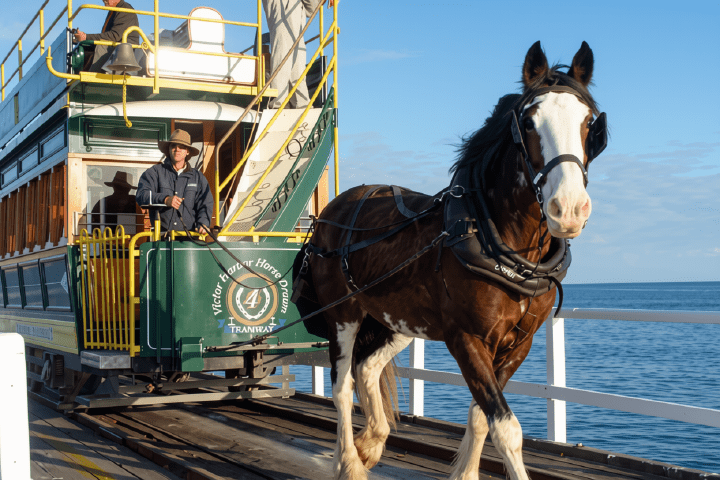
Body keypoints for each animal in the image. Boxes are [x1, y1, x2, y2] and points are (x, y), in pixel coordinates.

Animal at [295, 41, 607, 480]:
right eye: (529, 122)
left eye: (589, 123)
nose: (569, 209)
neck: (500, 241)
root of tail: (329, 213)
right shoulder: (467, 339)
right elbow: (507, 428)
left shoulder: (519, 344)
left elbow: (481, 417)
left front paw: (465, 472)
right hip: (344, 315)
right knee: (342, 386)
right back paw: (350, 463)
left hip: (398, 318)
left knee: (367, 368)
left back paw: (371, 442)